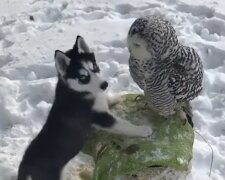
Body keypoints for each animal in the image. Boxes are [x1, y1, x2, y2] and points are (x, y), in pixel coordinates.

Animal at [16, 35, 152, 180]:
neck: (80, 92)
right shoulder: (100, 117)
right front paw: (143, 130)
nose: (105, 84)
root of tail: (25, 166)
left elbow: (108, 98)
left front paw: (120, 95)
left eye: (95, 66)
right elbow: (124, 124)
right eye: (83, 77)